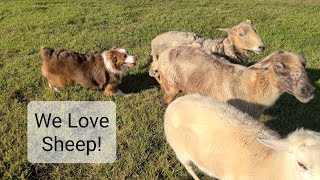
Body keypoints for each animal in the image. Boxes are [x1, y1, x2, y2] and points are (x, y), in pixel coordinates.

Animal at [156, 45, 314, 117]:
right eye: (279, 66)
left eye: (304, 64)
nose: (309, 90)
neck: (252, 87)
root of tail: (165, 52)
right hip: (170, 84)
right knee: (166, 99)